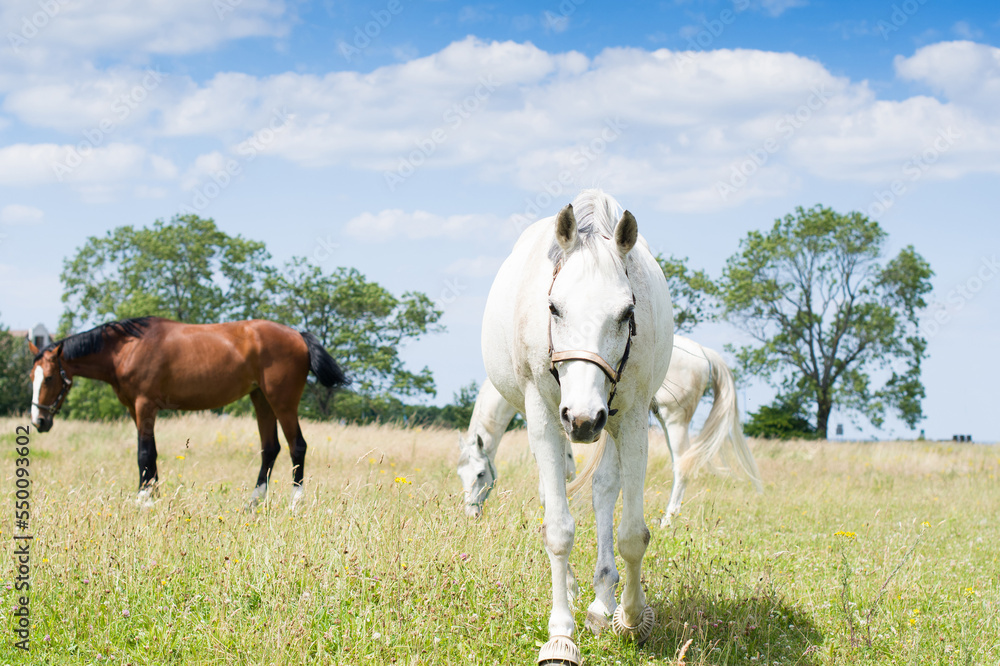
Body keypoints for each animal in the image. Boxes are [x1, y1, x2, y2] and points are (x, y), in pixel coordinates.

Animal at [28, 317, 349, 509]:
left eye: (49, 378)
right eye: (31, 376)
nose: (39, 421)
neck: (128, 347)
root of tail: (298, 335)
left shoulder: (144, 405)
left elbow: (143, 452)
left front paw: (143, 498)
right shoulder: (136, 409)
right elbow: (151, 453)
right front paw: (153, 494)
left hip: (282, 402)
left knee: (298, 446)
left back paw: (296, 502)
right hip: (261, 400)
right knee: (270, 449)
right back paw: (253, 503)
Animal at [456, 335, 762, 524]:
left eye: (481, 474)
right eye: (461, 475)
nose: (471, 515)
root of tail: (702, 353)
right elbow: (568, 466)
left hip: (675, 420)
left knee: (682, 466)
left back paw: (667, 520)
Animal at [482, 190, 672, 664]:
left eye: (627, 313)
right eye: (554, 308)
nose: (584, 419)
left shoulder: (632, 418)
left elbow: (632, 532)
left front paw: (632, 618)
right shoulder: (545, 417)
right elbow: (559, 529)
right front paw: (560, 635)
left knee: (604, 490)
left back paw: (602, 602)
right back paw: (569, 589)